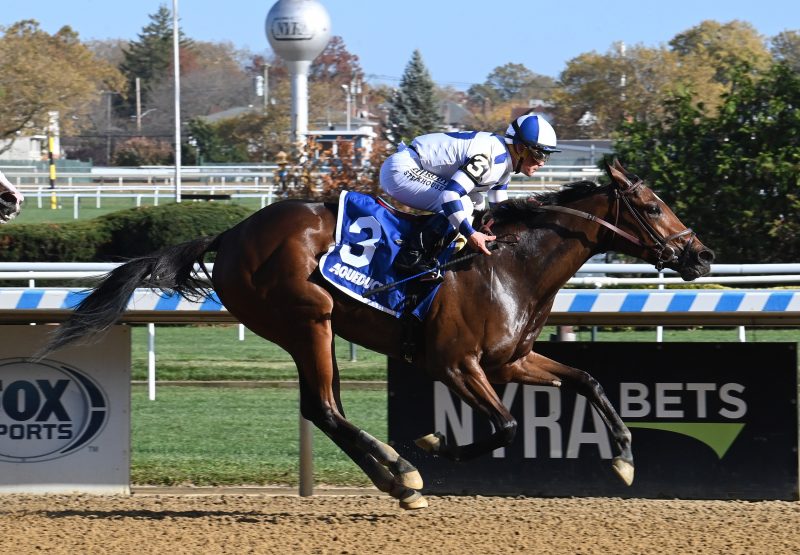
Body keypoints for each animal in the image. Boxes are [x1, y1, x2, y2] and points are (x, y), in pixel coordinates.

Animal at [39, 159, 712, 510]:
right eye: (653, 206)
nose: (700, 256)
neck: (508, 265)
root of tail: (229, 234)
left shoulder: (509, 362)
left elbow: (588, 380)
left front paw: (624, 459)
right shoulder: (454, 365)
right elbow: (505, 427)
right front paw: (434, 445)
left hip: (309, 327)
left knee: (323, 408)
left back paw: (394, 475)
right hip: (308, 318)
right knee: (324, 407)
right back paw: (403, 476)